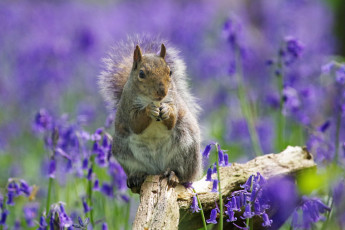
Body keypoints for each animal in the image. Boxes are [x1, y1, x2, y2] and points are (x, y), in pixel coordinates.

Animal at [98, 35, 200, 188]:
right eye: (141, 74)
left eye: (170, 72)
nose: (162, 92)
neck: (152, 100)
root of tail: (157, 169)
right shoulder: (127, 106)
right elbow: (136, 123)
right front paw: (148, 110)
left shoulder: (174, 101)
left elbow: (172, 119)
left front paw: (166, 111)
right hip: (124, 153)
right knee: (138, 170)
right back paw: (136, 176)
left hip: (186, 149)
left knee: (181, 173)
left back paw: (173, 175)